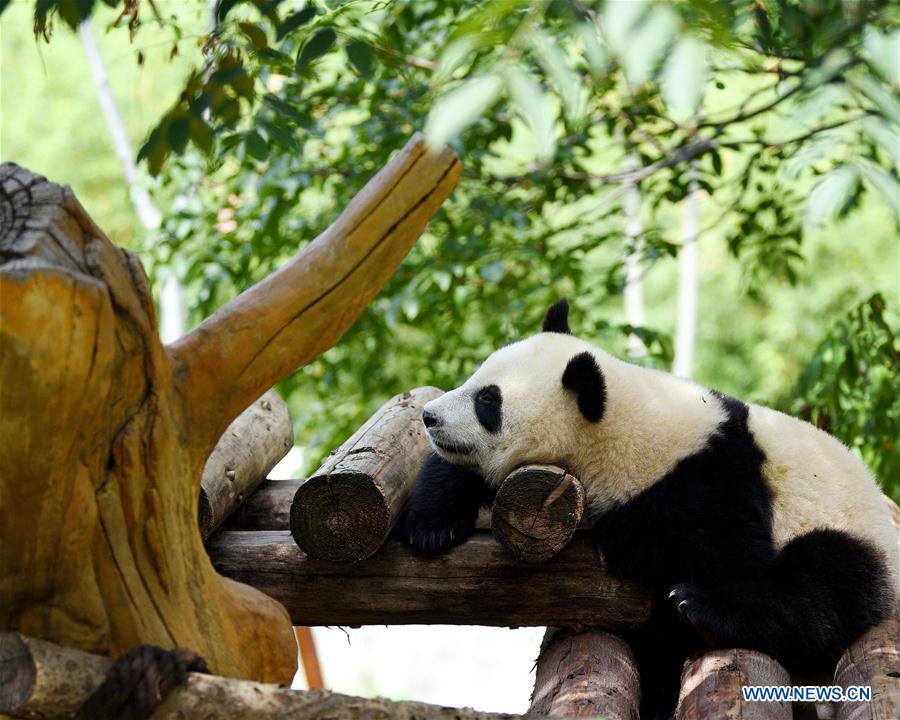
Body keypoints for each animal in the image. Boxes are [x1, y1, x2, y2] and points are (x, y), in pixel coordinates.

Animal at [402, 300, 900, 720]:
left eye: (488, 400)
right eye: (477, 380)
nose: (429, 416)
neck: (623, 428)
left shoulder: (709, 482)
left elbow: (732, 559)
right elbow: (458, 471)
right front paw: (431, 527)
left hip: (852, 532)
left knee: (828, 586)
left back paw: (699, 610)